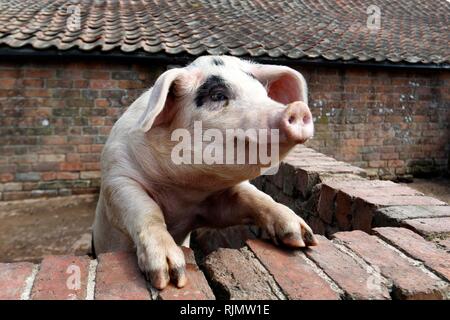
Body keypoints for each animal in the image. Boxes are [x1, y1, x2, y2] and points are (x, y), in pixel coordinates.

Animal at [91, 55, 316, 290]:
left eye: (263, 93)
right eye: (217, 95)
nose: (298, 108)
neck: (185, 192)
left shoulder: (214, 206)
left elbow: (255, 197)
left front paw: (304, 238)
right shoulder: (116, 176)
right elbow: (145, 209)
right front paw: (171, 277)